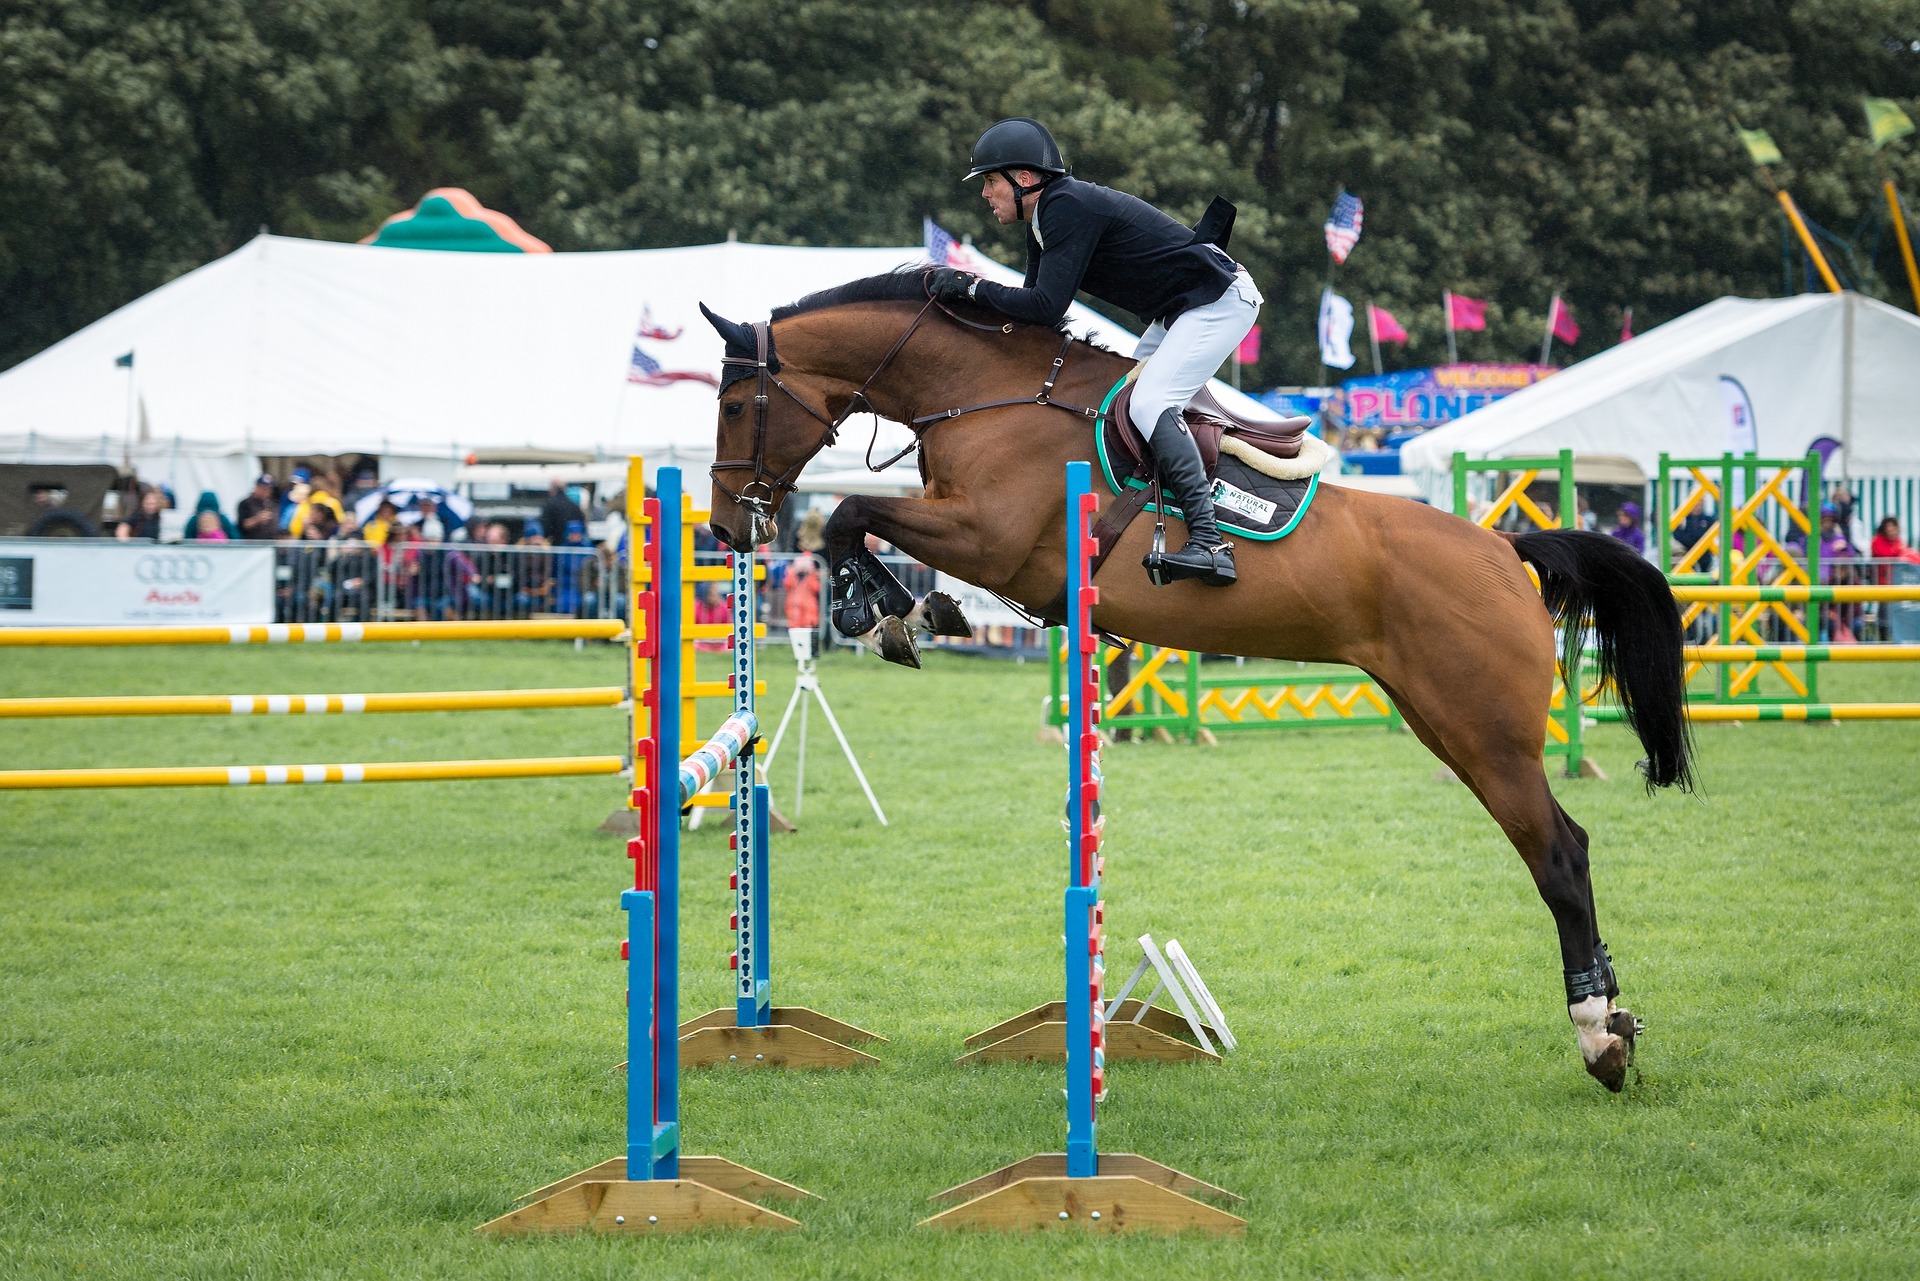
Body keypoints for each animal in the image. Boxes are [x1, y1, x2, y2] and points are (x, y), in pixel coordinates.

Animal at [698, 270, 1689, 1090]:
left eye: (738, 401)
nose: (726, 527)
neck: (984, 394)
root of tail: (1505, 547)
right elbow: (865, 521)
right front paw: (911, 609)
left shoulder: (990, 537)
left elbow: (852, 513)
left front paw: (881, 611)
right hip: (1440, 721)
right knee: (1561, 844)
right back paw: (1613, 1021)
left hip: (1487, 735)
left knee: (1559, 854)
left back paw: (1598, 1034)